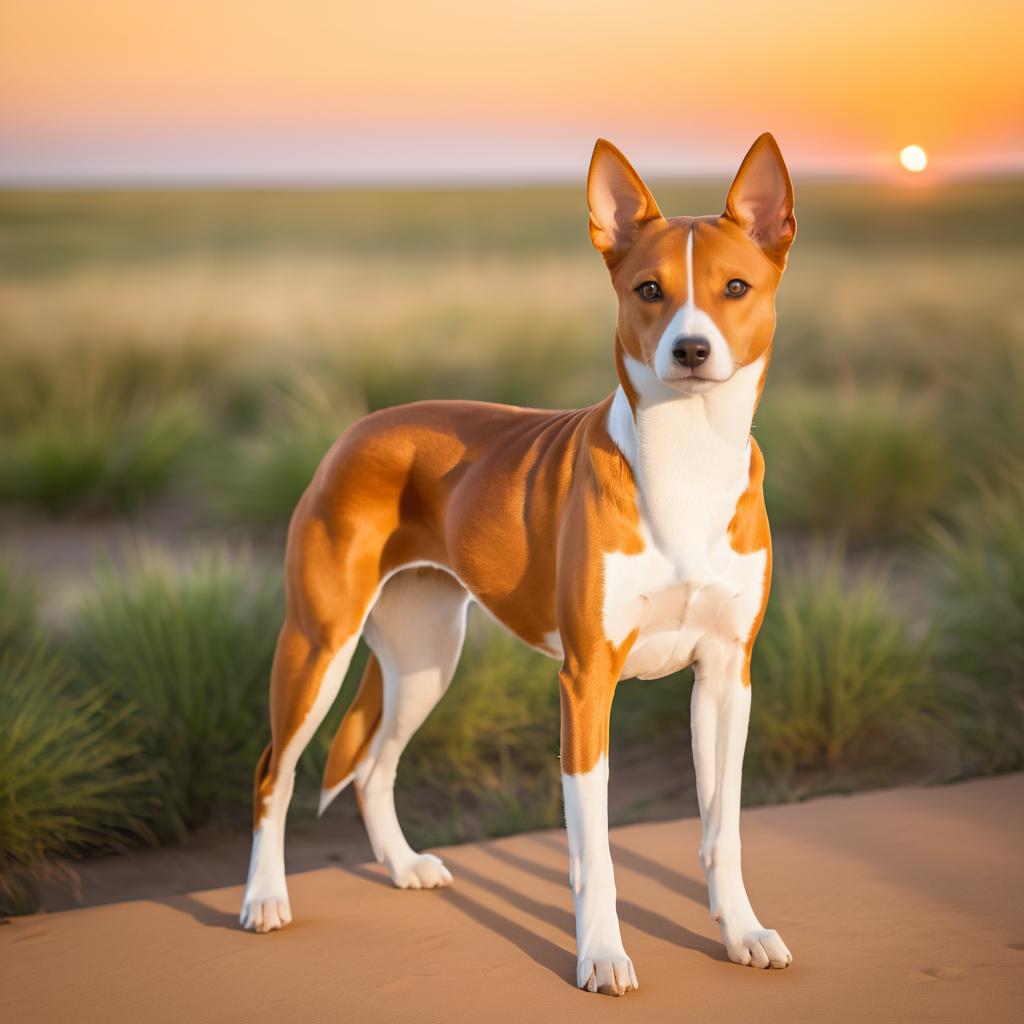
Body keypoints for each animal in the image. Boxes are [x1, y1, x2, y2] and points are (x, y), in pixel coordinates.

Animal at [241, 132, 798, 995]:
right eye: (649, 289)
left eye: (735, 287)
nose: (692, 349)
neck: (688, 460)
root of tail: (360, 428)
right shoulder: (587, 682)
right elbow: (594, 853)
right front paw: (601, 956)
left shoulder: (725, 675)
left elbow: (722, 831)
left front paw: (740, 931)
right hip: (317, 646)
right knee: (276, 770)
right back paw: (265, 898)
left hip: (426, 658)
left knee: (372, 767)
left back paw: (403, 867)